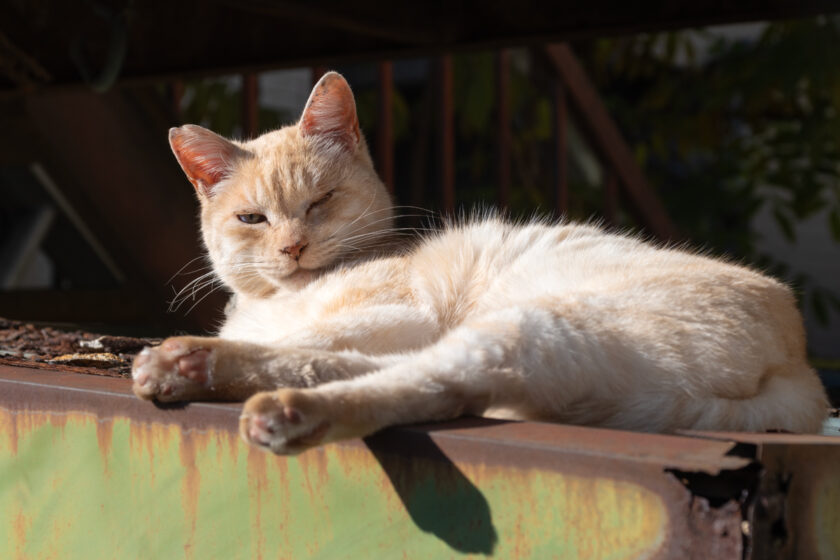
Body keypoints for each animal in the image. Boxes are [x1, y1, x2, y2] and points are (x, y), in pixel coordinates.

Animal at [131, 70, 828, 456]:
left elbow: (309, 339)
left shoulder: (397, 314)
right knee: (396, 376)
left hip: (532, 325)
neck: (275, 302)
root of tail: (799, 368)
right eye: (253, 219)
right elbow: (304, 344)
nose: (293, 248)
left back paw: (276, 406)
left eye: (321, 201)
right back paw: (189, 367)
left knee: (420, 383)